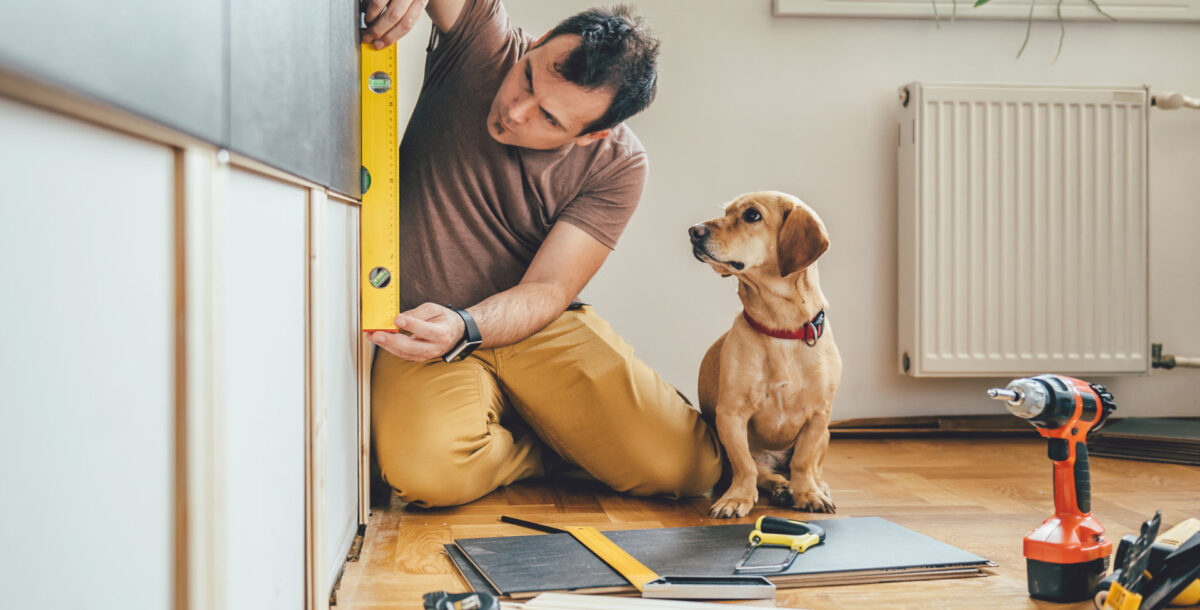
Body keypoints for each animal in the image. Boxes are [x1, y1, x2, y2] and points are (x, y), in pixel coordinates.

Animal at [686, 192, 844, 518]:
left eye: (752, 216)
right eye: (727, 212)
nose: (693, 231)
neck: (780, 328)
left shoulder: (818, 417)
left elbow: (803, 461)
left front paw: (808, 493)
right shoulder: (731, 415)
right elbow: (745, 466)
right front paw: (737, 499)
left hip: (826, 435)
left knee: (809, 468)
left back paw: (812, 487)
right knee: (763, 472)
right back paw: (781, 487)